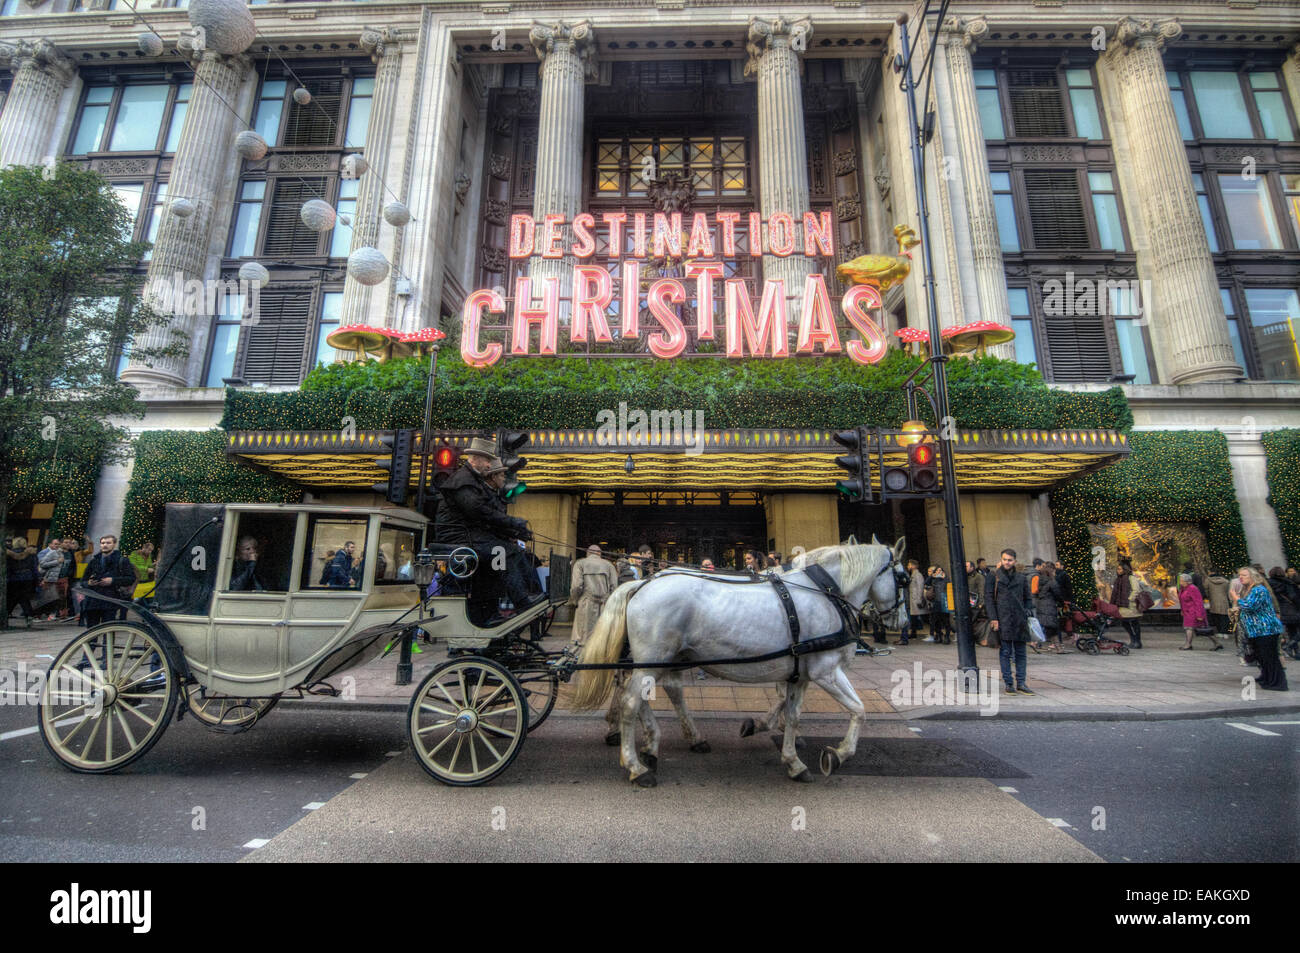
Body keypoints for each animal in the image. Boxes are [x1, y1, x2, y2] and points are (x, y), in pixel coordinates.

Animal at [574, 538, 899, 785]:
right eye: (901, 577)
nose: (897, 619)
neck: (825, 591)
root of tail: (641, 584)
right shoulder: (826, 671)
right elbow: (859, 709)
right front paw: (838, 754)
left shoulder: (800, 672)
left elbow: (793, 713)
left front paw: (792, 758)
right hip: (653, 659)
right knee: (632, 701)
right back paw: (636, 766)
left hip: (658, 660)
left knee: (647, 693)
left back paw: (657, 744)